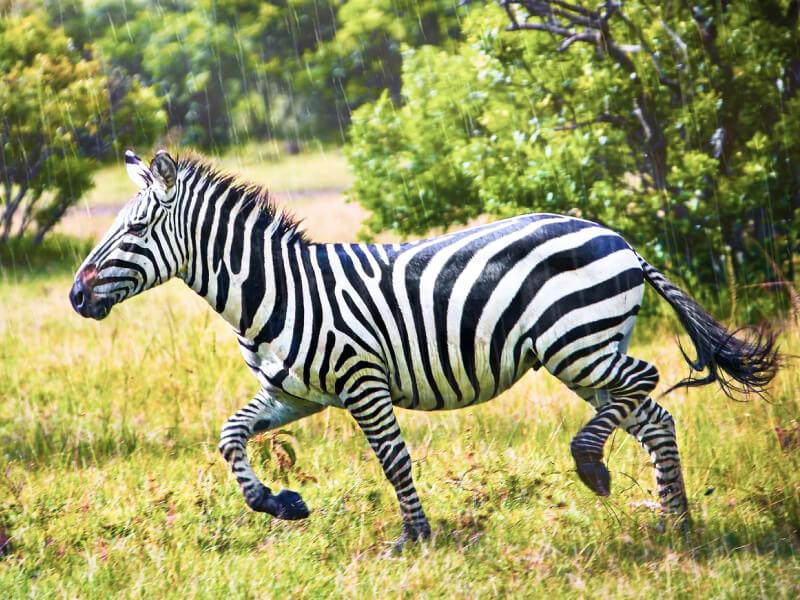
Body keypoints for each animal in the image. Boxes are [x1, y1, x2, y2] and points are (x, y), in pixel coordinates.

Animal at [70, 150, 779, 550]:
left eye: (136, 229)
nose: (76, 297)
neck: (277, 289)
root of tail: (618, 237)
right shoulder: (293, 395)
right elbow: (230, 435)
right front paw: (280, 503)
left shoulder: (363, 382)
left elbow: (393, 462)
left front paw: (414, 539)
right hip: (585, 353)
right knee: (652, 414)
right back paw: (675, 525)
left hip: (576, 344)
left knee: (647, 378)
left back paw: (593, 467)